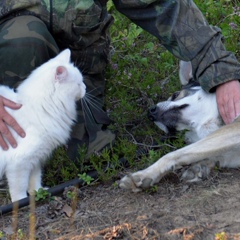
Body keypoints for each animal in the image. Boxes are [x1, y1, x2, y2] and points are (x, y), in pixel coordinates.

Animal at [0, 49, 86, 202]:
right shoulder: (18, 163)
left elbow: (35, 180)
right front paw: (21, 202)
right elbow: (19, 189)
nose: (86, 88)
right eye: (78, 84)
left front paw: (38, 193)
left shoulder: (35, 159)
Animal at [120, 61, 240, 192]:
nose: (149, 113)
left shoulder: (234, 129)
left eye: (175, 94)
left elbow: (173, 154)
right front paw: (199, 167)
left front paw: (144, 174)